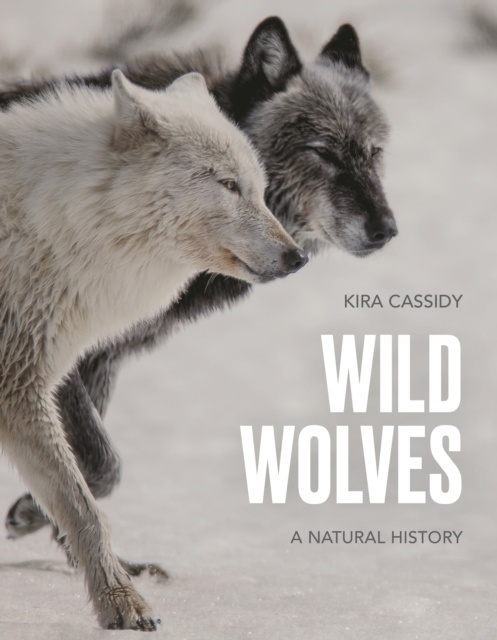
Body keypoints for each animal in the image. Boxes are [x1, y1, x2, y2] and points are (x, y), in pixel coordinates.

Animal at [0, 69, 304, 629]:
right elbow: (87, 511)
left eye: (259, 188)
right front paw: (123, 604)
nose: (297, 257)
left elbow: (82, 501)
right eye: (229, 185)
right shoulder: (20, 389)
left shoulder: (30, 384)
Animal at [3, 18, 397, 571]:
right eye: (322, 151)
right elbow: (103, 464)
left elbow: (90, 469)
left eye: (374, 151)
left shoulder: (100, 358)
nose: (386, 229)